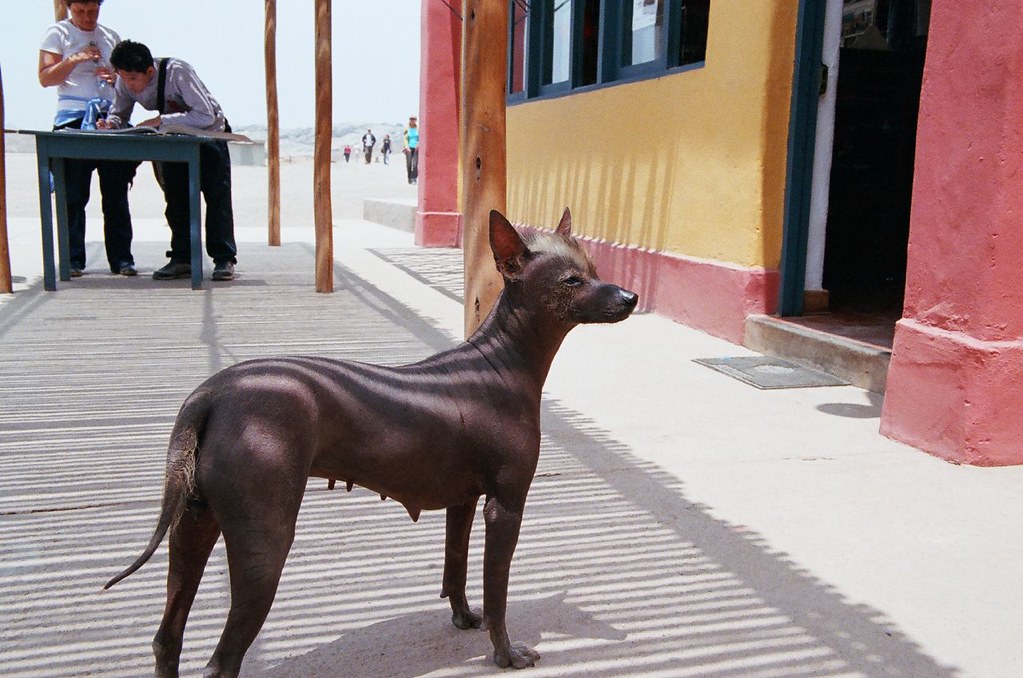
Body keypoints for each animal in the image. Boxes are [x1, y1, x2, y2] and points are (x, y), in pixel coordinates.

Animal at [101, 209, 630, 674]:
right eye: (571, 281)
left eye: (594, 270)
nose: (630, 296)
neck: (499, 360)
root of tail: (212, 392)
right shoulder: (505, 508)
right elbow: (496, 590)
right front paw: (504, 653)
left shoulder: (462, 502)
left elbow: (456, 565)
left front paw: (463, 619)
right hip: (264, 543)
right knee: (221, 662)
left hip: (194, 523)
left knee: (167, 638)